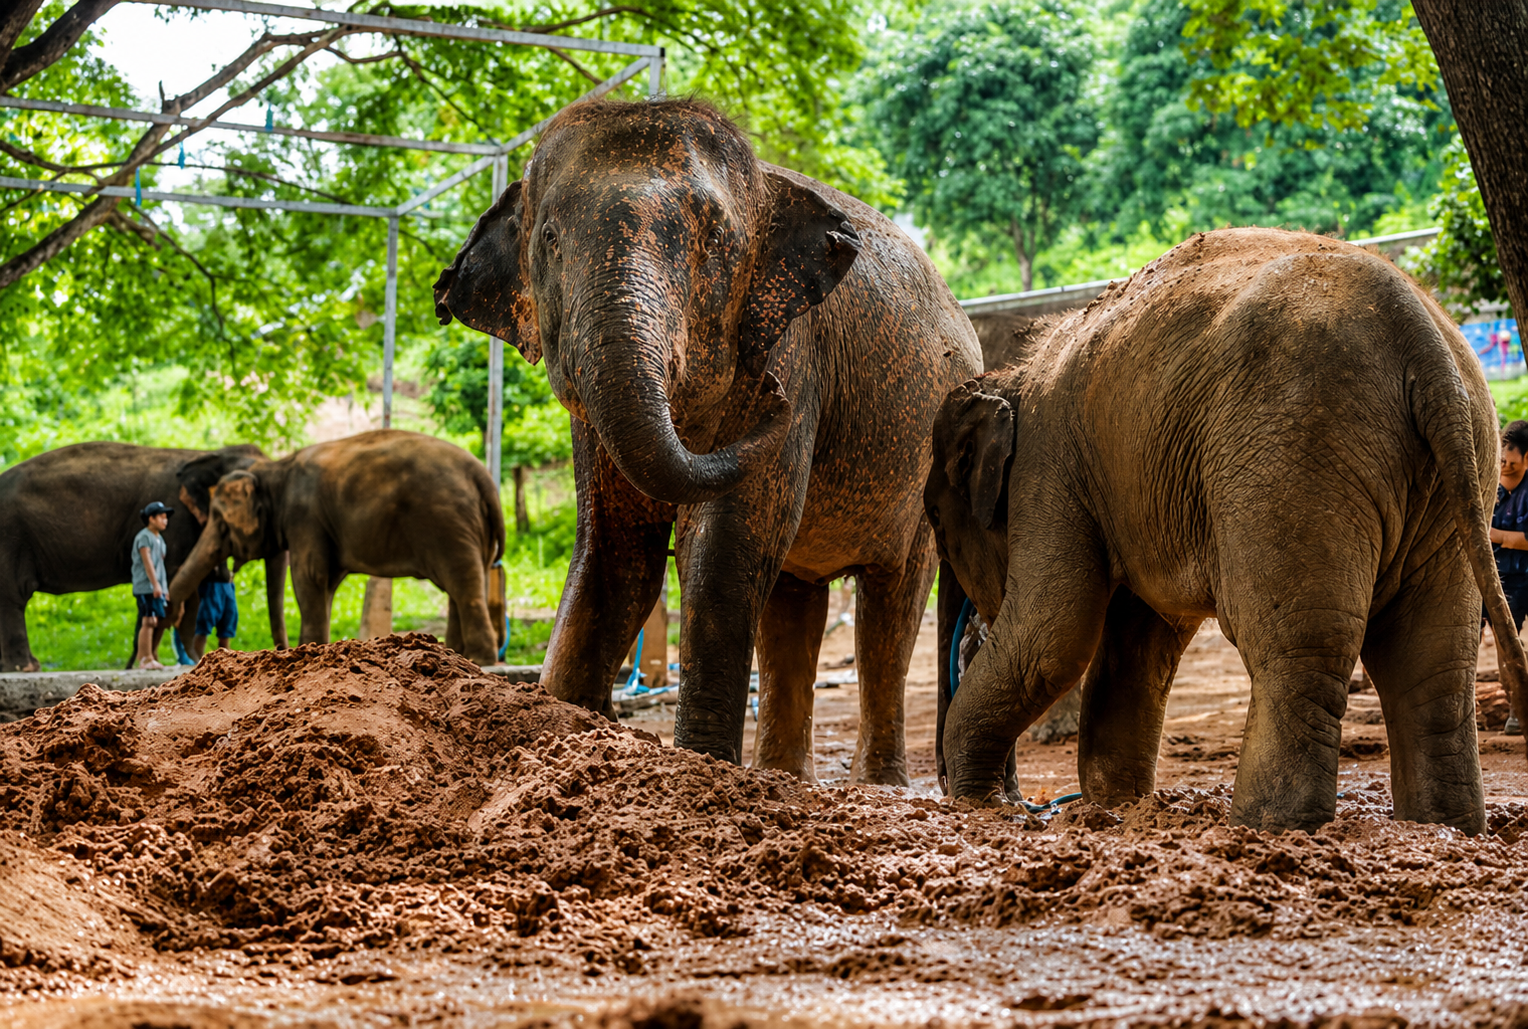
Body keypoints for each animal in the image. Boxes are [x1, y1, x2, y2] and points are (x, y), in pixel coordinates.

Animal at [0, 443, 284, 671]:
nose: (128, 665)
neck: (207, 453)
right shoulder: (176, 523)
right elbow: (178, 586)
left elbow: (192, 593)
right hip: (11, 537)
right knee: (12, 596)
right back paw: (26, 668)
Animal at [167, 429, 506, 664]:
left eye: (220, 521)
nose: (172, 614)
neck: (276, 469)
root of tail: (484, 477)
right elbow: (326, 583)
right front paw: (318, 648)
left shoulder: (305, 517)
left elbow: (308, 577)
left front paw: (308, 648)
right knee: (463, 586)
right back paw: (457, 653)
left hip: (449, 523)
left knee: (463, 584)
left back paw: (479, 659)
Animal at [434, 97, 981, 782]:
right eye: (550, 239)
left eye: (715, 240)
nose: (774, 396)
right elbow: (616, 547)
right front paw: (560, 728)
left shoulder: (791, 349)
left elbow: (725, 545)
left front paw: (700, 766)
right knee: (792, 600)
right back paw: (783, 776)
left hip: (927, 463)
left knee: (891, 604)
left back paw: (876, 785)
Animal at [924, 227, 1528, 834]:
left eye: (934, 520)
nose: (998, 799)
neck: (1011, 378)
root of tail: (1421, 338)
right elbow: (1134, 644)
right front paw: (1117, 808)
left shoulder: (1048, 468)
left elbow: (1053, 635)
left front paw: (983, 802)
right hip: (1460, 468)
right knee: (1431, 663)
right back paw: (1442, 827)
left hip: (1294, 448)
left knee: (1297, 647)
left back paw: (1272, 827)